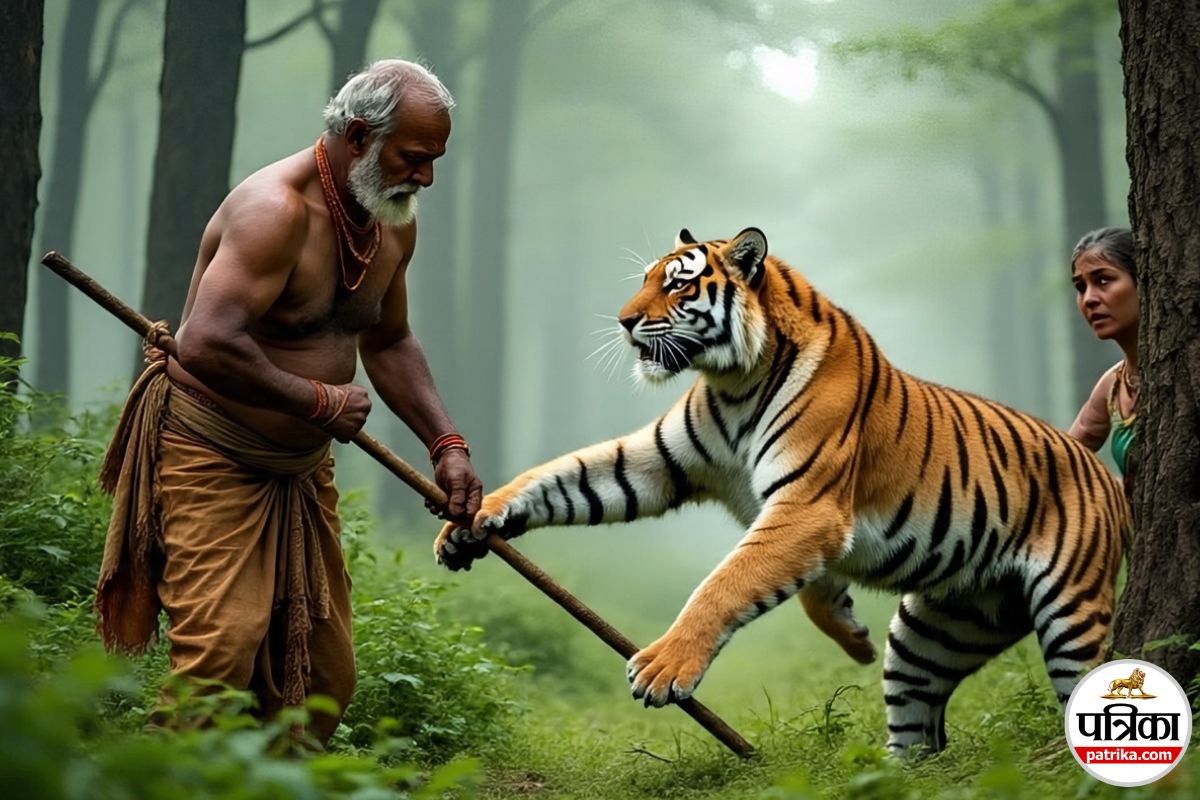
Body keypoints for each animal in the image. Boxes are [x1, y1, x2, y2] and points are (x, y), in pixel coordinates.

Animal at [435, 227, 1129, 755]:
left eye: (678, 284)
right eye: (647, 279)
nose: (625, 322)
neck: (733, 380)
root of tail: (1105, 475)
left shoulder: (807, 507)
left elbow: (725, 584)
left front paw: (664, 667)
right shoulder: (653, 464)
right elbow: (564, 475)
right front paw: (473, 518)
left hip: (1070, 614)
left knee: (1085, 684)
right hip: (938, 631)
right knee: (919, 730)